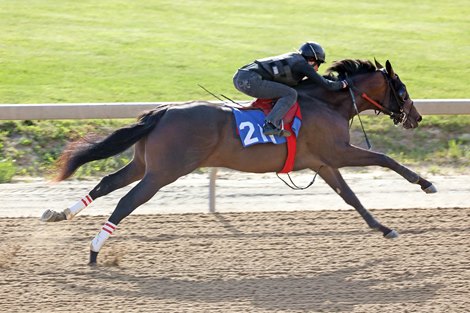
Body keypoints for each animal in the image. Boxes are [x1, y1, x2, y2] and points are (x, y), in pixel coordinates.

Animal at [40, 58, 436, 264]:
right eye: (402, 89)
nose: (416, 117)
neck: (327, 103)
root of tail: (163, 111)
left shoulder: (324, 163)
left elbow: (352, 198)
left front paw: (383, 228)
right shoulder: (338, 151)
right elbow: (384, 158)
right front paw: (426, 183)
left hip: (143, 164)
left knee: (106, 184)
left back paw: (60, 213)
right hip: (164, 172)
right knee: (126, 201)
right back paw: (94, 250)